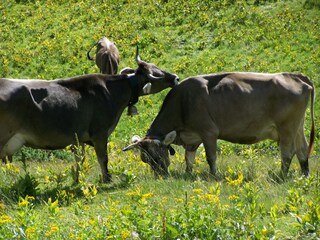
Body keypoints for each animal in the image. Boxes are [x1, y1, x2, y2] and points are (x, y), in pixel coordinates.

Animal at [0, 47, 179, 182]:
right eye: (157, 73)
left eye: (157, 67)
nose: (175, 78)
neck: (111, 90)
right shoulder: (100, 133)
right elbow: (103, 158)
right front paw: (107, 179)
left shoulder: (78, 139)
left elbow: (80, 161)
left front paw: (78, 180)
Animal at [123, 72, 316, 179]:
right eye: (145, 159)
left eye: (157, 156)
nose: (160, 176)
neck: (183, 101)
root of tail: (294, 75)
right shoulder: (192, 138)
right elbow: (189, 158)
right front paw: (188, 173)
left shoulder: (208, 132)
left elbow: (211, 157)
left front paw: (213, 176)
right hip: (298, 127)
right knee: (302, 150)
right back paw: (304, 174)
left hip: (287, 128)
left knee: (287, 153)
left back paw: (281, 175)